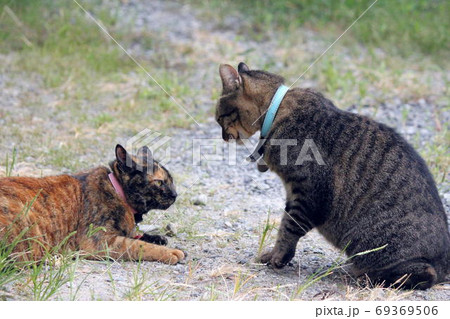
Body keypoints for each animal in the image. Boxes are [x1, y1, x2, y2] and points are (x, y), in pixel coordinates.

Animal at [0, 145, 185, 264]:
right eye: (159, 182)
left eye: (171, 181)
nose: (175, 194)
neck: (116, 191)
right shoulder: (99, 241)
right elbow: (139, 245)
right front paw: (171, 252)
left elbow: (139, 236)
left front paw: (158, 238)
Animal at [216, 62, 448, 290]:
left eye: (219, 118)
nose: (223, 137)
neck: (276, 111)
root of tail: (445, 266)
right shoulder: (293, 194)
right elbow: (284, 226)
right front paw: (275, 255)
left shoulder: (308, 194)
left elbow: (289, 228)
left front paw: (278, 258)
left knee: (425, 275)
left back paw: (368, 278)